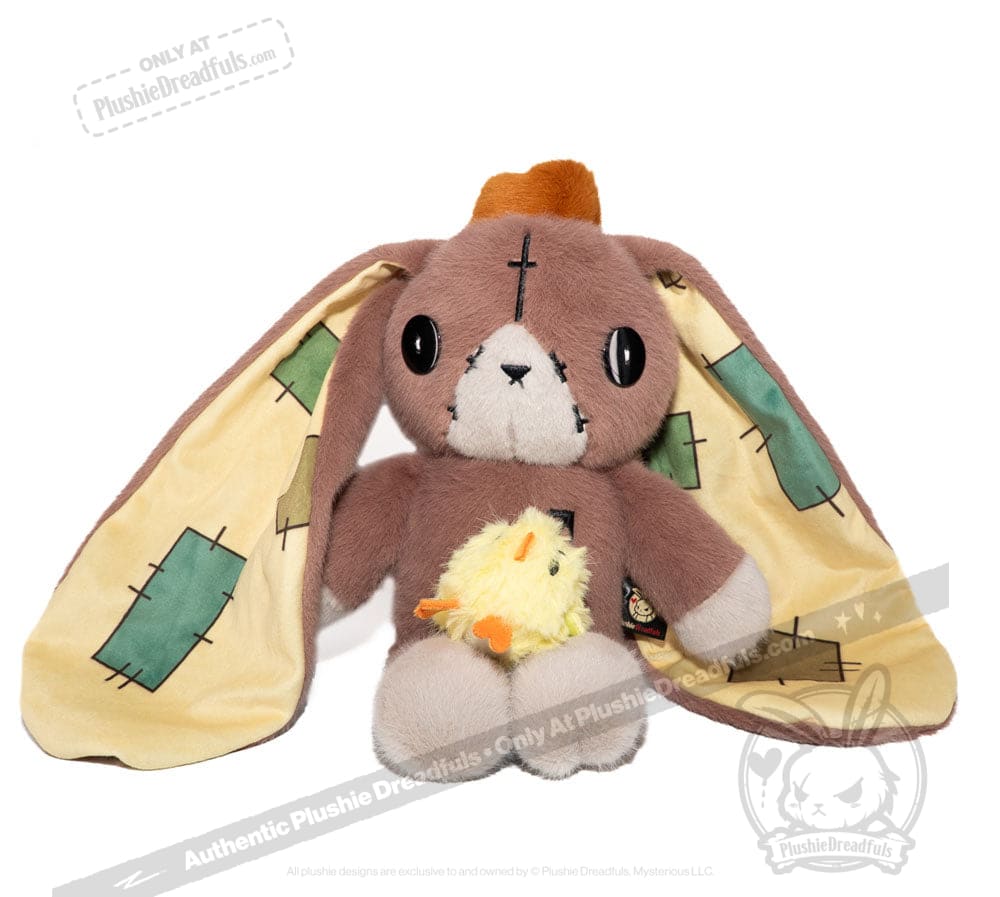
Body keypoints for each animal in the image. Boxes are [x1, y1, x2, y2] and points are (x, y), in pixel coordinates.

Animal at [315, 160, 772, 780]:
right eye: (417, 341)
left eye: (628, 354)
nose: (514, 368)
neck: (517, 465)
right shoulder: (407, 482)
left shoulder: (629, 489)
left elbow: (687, 548)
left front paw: (740, 615)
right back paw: (445, 727)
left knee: (580, 669)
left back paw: (574, 725)